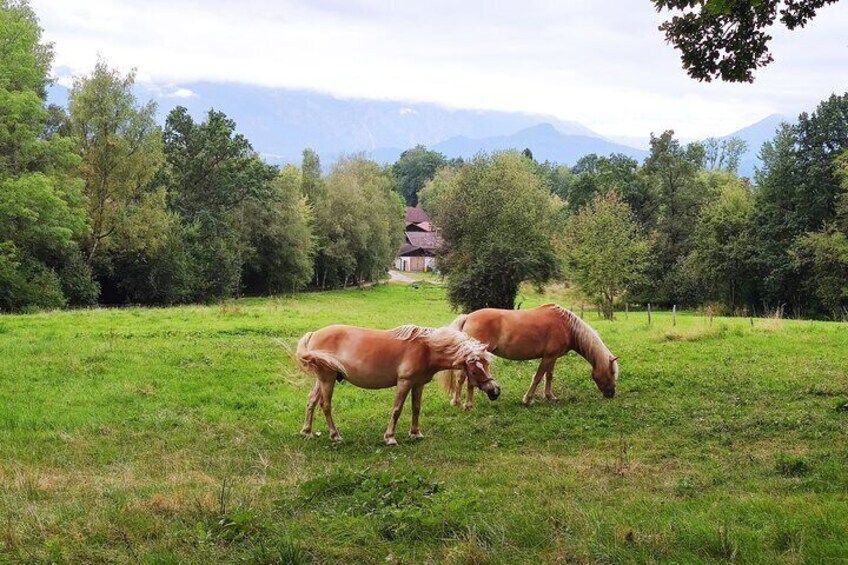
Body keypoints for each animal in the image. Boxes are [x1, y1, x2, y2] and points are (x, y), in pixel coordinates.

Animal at [296, 324, 500, 442]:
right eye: (474, 371)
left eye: (487, 365)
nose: (495, 391)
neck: (426, 349)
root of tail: (313, 334)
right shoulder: (404, 383)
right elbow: (397, 410)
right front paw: (390, 437)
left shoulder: (418, 384)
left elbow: (416, 408)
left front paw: (415, 433)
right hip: (327, 379)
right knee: (325, 405)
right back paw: (335, 435)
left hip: (322, 379)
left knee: (311, 401)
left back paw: (307, 432)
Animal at [448, 306, 620, 408]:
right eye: (612, 372)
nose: (611, 394)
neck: (567, 326)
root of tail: (468, 317)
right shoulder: (548, 357)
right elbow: (538, 377)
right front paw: (527, 399)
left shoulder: (552, 357)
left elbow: (549, 376)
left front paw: (550, 397)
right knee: (468, 378)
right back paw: (468, 404)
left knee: (461, 377)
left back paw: (457, 401)